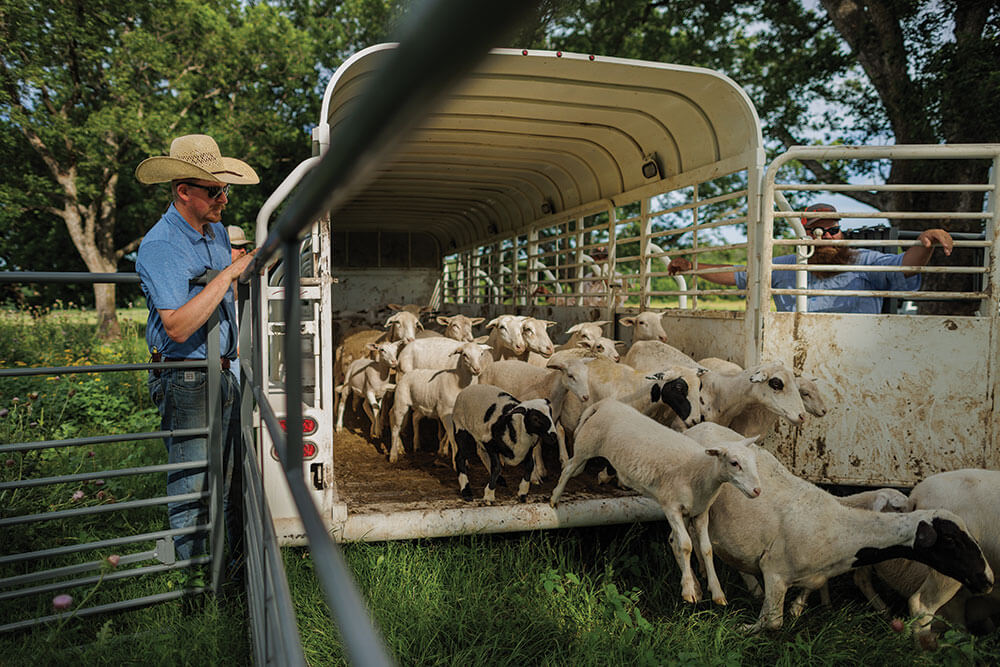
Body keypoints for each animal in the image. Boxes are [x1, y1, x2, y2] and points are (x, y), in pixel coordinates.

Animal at [552, 400, 760, 608]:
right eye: (734, 463)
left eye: (753, 461)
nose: (757, 490)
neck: (701, 473)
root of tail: (605, 404)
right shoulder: (671, 507)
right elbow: (686, 545)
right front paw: (688, 591)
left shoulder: (700, 512)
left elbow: (706, 548)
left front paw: (717, 592)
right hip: (586, 445)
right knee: (568, 468)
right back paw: (554, 498)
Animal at [680, 422, 992, 636]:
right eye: (950, 540)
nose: (988, 580)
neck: (841, 531)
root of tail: (699, 426)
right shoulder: (775, 572)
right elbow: (772, 622)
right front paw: (744, 630)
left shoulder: (807, 577)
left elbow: (789, 607)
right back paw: (698, 584)